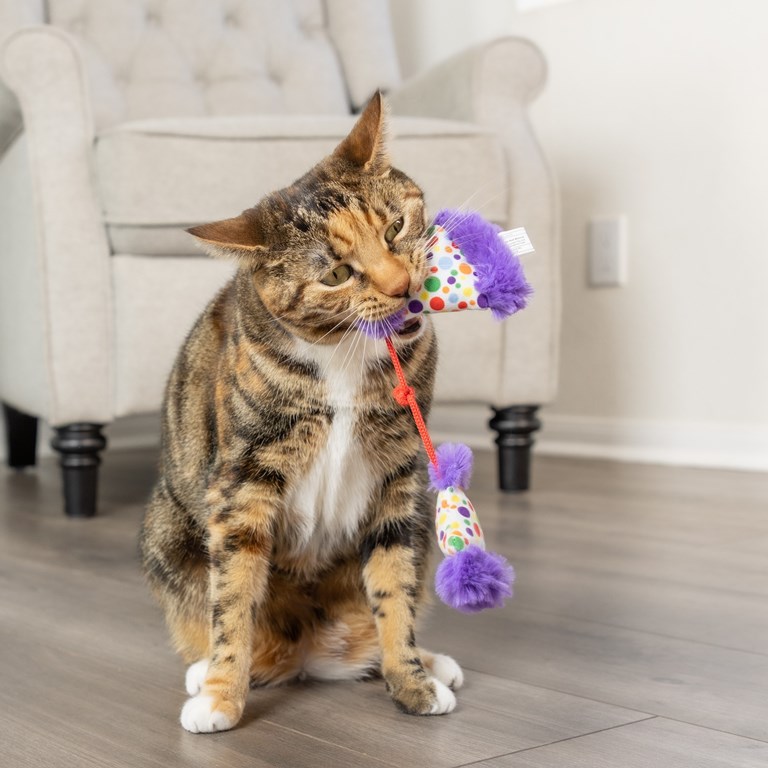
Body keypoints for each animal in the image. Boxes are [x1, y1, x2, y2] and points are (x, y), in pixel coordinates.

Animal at [138, 91, 462, 732]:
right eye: (336, 273)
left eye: (395, 226)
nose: (401, 285)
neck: (343, 358)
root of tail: (312, 655)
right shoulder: (243, 481)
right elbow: (233, 596)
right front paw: (222, 698)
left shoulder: (399, 476)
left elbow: (394, 585)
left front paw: (411, 681)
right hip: (166, 531)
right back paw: (205, 674)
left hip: (422, 520)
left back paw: (428, 661)